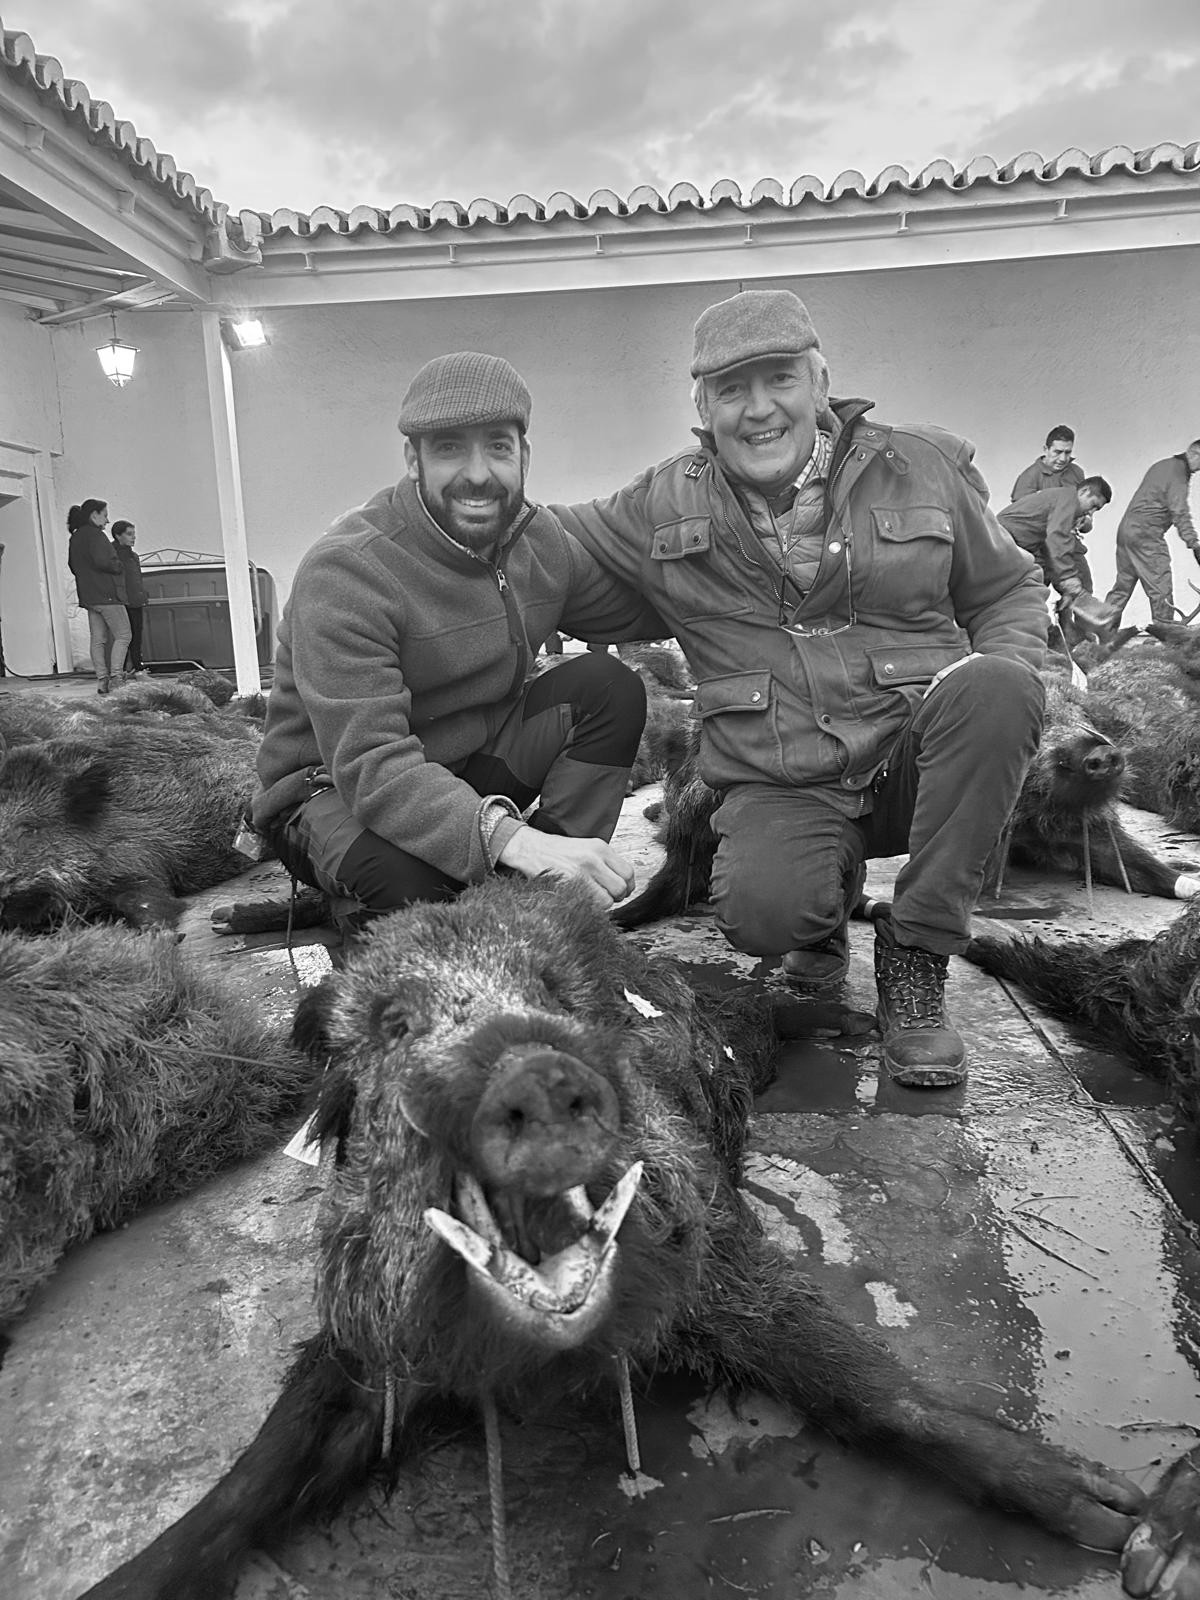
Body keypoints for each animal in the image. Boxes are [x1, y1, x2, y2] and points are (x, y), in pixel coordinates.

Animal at [78, 875, 1183, 1600]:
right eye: (395, 1024)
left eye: (555, 994)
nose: (531, 1074)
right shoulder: (373, 1345)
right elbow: (258, 1470)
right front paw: (120, 1582)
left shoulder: (721, 1260)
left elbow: (864, 1383)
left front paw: (1114, 1521)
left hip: (752, 1036)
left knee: (777, 1009)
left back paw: (858, 1028)